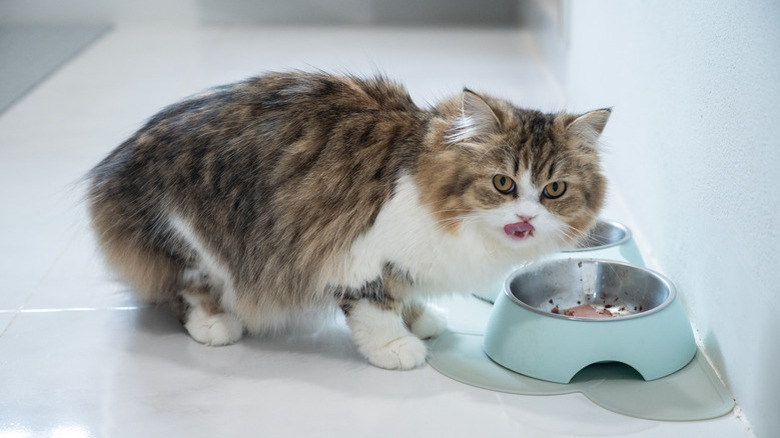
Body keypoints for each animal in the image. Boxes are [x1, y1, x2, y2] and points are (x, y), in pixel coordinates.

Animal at [85, 72, 608, 370]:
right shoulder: (361, 256)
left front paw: (420, 320)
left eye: (554, 190)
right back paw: (216, 324)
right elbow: (375, 307)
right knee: (187, 290)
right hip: (191, 238)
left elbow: (407, 294)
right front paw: (396, 347)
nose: (526, 215)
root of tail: (110, 169)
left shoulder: (407, 261)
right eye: (503, 183)